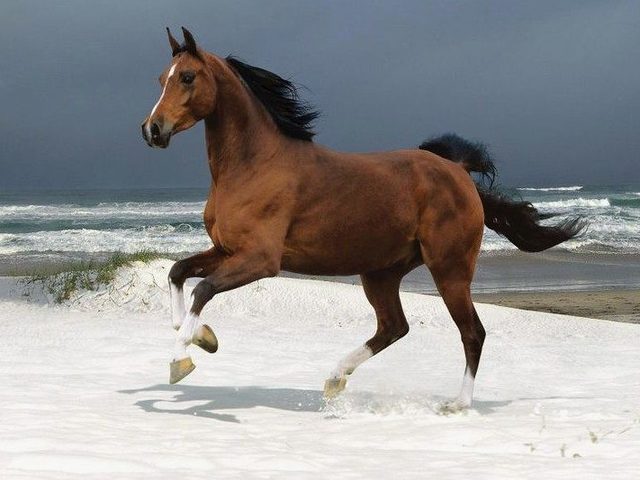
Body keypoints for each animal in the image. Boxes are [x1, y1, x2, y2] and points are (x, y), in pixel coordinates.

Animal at [141, 27, 584, 410]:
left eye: (187, 77)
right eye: (161, 78)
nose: (152, 129)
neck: (254, 165)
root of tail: (457, 171)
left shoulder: (261, 260)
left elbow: (203, 289)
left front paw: (181, 360)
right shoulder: (226, 249)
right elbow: (178, 273)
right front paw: (201, 337)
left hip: (450, 270)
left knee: (472, 332)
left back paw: (457, 404)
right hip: (381, 272)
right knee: (394, 327)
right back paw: (335, 378)